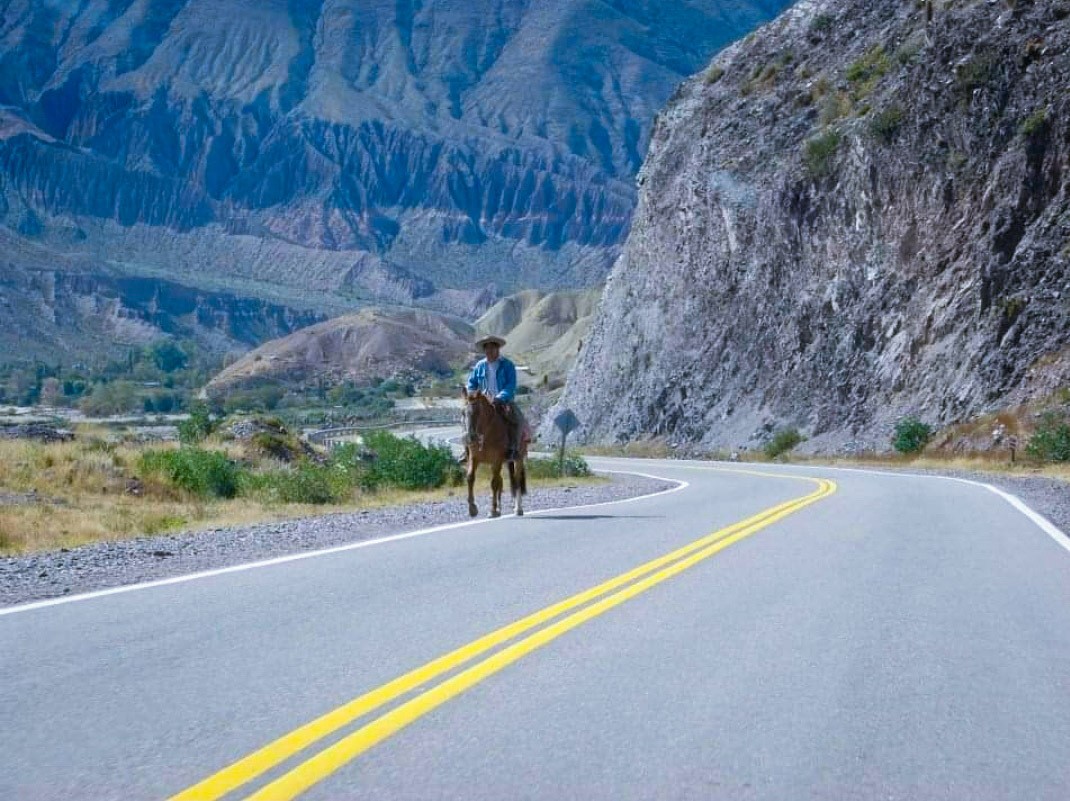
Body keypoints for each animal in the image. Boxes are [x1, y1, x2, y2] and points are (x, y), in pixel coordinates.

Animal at [460, 389, 526, 519]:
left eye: (478, 412)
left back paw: (518, 509)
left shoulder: (497, 460)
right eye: (463, 413)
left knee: (516, 481)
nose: (471, 437)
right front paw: (472, 508)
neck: (486, 432)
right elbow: (470, 478)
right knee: (501, 481)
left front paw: (492, 510)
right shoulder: (474, 459)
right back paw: (500, 509)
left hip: (518, 459)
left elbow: (494, 483)